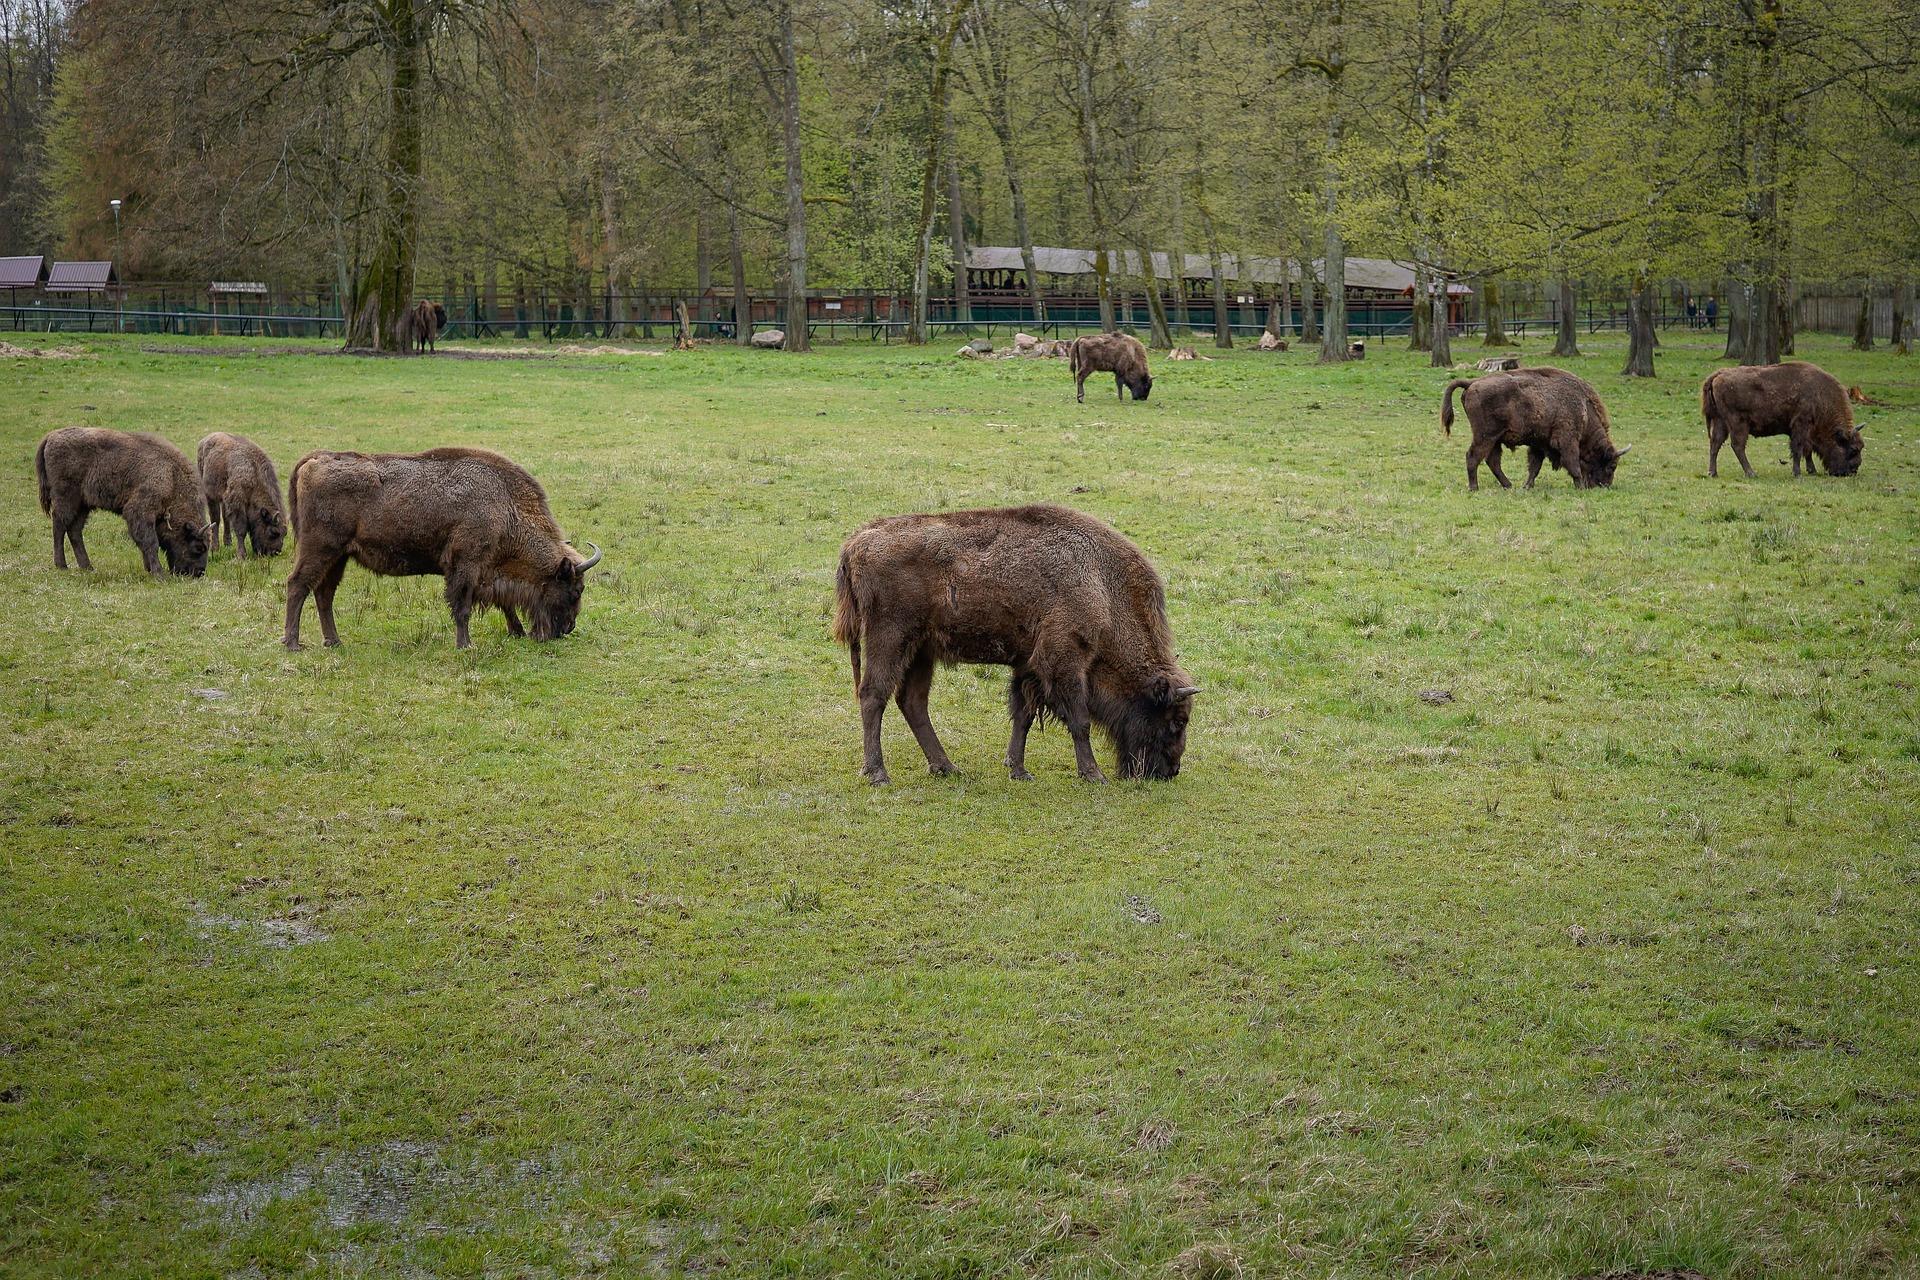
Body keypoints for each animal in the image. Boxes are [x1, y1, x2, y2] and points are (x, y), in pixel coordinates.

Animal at [34, 426, 210, 575]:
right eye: (198, 548)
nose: (199, 572)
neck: (172, 477)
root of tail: (51, 437)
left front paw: (148, 569)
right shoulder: (139, 511)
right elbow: (150, 542)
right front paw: (158, 573)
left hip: (83, 504)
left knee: (74, 530)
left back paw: (88, 567)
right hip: (66, 498)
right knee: (59, 525)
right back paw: (61, 565)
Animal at [282, 450, 599, 652]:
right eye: (576, 590)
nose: (568, 628)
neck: (504, 504)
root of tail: (314, 459)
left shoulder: (486, 571)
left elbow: (503, 602)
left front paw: (516, 631)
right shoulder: (466, 565)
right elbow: (463, 607)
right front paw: (465, 645)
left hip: (339, 556)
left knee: (323, 593)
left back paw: (334, 642)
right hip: (320, 549)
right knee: (297, 585)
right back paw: (293, 644)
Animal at [829, 506, 1190, 786]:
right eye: (1176, 721)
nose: (1170, 771)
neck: (1102, 584)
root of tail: (856, 542)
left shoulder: (1029, 665)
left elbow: (1024, 715)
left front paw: (1018, 770)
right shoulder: (1064, 660)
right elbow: (1079, 718)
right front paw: (1093, 774)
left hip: (920, 651)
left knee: (912, 701)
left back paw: (946, 767)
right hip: (889, 639)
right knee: (873, 695)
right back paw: (879, 774)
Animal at [1443, 370, 1635, 495]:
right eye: (1612, 466)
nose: (1605, 486)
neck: (1584, 408)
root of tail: (1472, 383)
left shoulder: (1539, 445)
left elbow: (1534, 467)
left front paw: (1527, 486)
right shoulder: (1567, 441)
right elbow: (1573, 465)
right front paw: (1579, 487)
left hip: (1495, 440)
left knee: (1493, 461)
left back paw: (1509, 486)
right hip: (1485, 437)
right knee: (1473, 457)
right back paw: (1474, 488)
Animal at [1704, 362, 1866, 477]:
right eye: (1853, 450)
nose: (1853, 471)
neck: (1821, 395)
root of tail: (1718, 374)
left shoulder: (1804, 430)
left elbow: (1807, 449)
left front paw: (1811, 470)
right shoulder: (1801, 424)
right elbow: (1799, 448)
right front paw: (1797, 473)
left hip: (1720, 421)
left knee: (1715, 444)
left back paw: (1713, 473)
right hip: (1737, 423)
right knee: (1737, 446)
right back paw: (1751, 473)